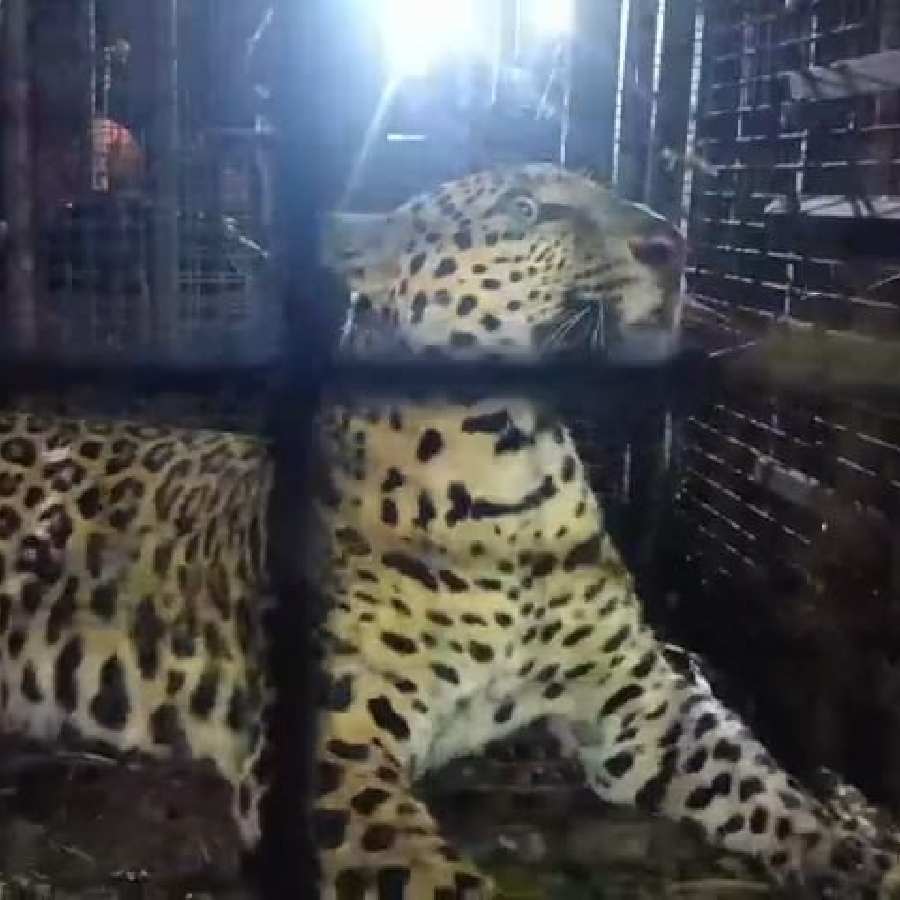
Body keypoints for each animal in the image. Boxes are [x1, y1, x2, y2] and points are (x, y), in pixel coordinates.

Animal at [0, 163, 894, 900]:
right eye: (529, 209)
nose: (670, 245)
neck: (513, 474)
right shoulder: (330, 742)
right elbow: (426, 878)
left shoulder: (639, 703)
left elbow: (764, 785)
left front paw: (862, 856)